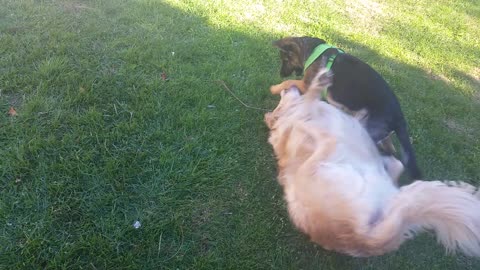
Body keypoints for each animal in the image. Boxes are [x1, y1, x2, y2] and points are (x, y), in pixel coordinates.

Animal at [272, 35, 422, 179]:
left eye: (285, 59)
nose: (281, 74)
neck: (313, 51)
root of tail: (399, 117)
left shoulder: (306, 85)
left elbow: (289, 82)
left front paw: (274, 88)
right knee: (390, 150)